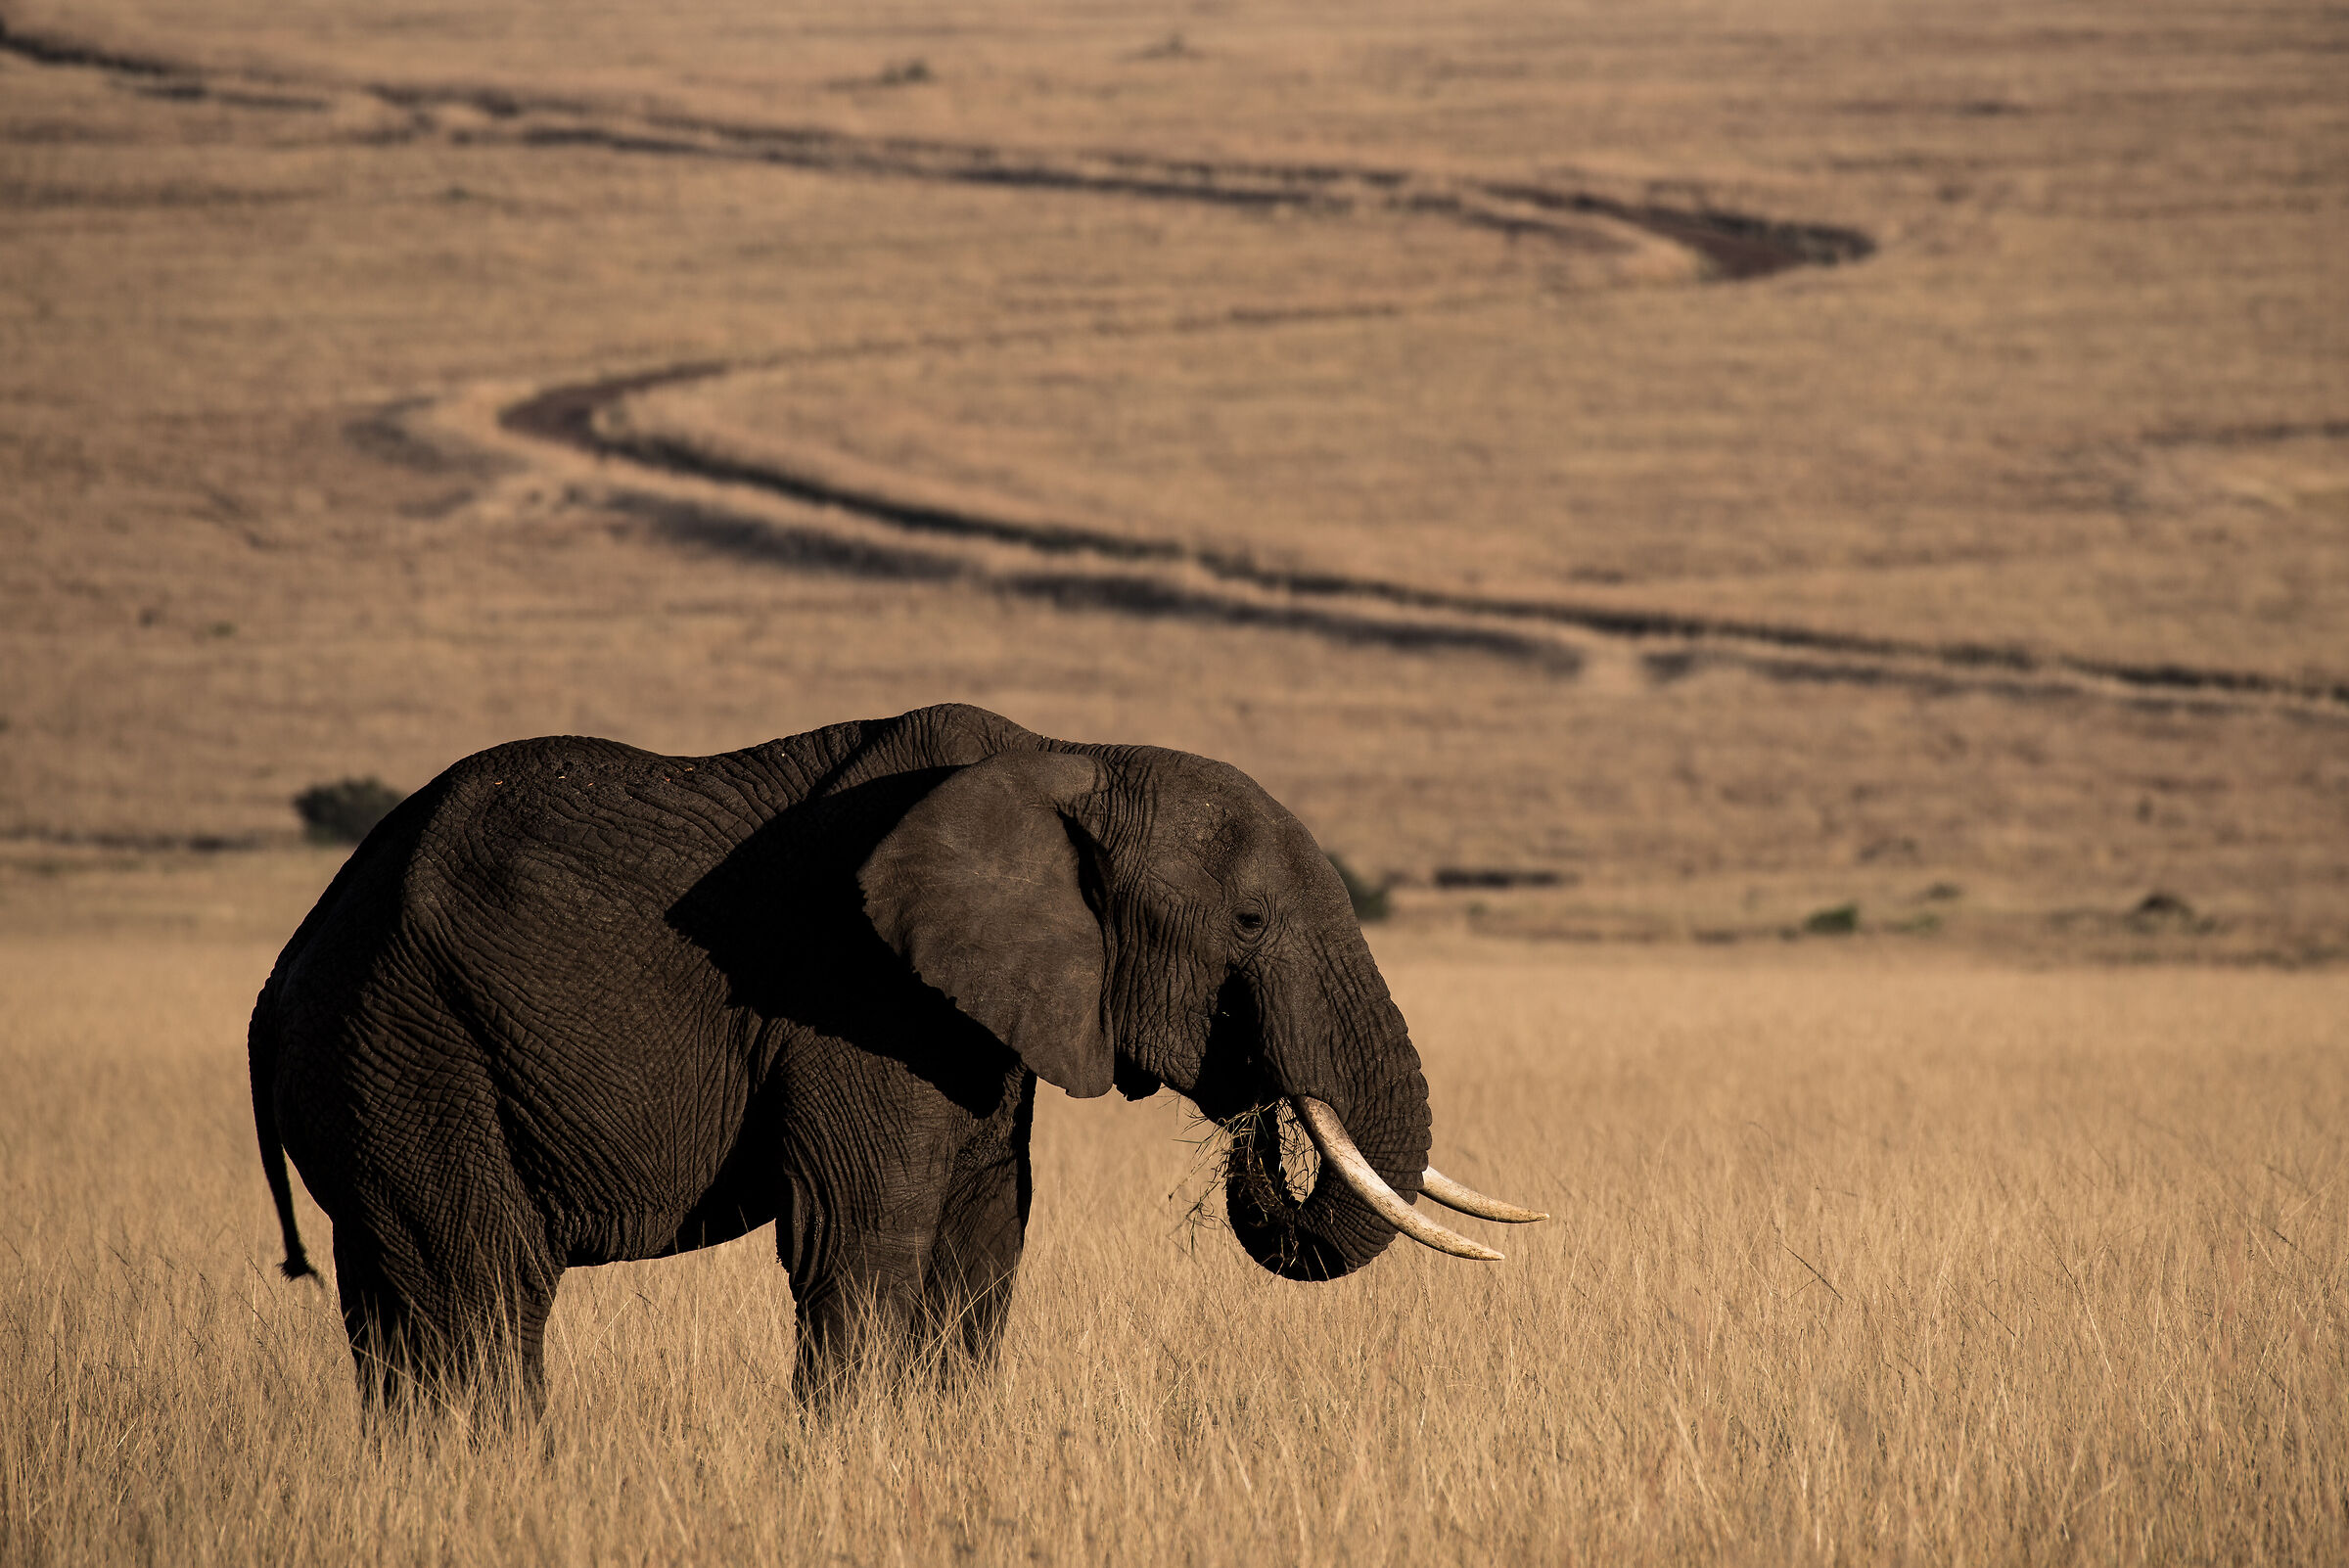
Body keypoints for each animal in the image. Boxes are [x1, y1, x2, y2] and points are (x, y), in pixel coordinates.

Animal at [250, 703, 1541, 1411]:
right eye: (1252, 922)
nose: (1258, 1120)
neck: (1066, 757)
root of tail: (283, 972)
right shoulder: (853, 993)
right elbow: (863, 1234)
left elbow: (986, 1239)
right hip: (412, 1051)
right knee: (482, 1290)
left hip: (379, 1072)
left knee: (398, 1305)